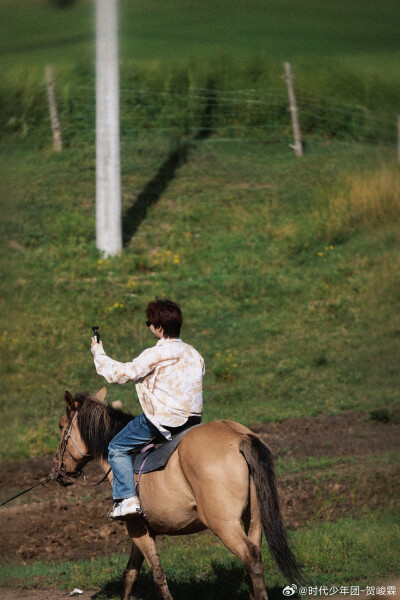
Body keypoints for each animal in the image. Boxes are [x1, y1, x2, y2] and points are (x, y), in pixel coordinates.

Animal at [53, 390, 300, 600]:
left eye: (61, 426)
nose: (58, 470)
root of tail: (239, 436)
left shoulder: (136, 528)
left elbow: (157, 574)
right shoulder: (143, 529)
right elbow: (130, 573)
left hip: (224, 524)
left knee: (251, 558)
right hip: (254, 519)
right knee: (254, 559)